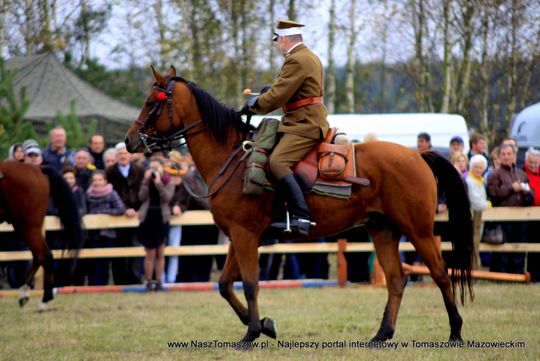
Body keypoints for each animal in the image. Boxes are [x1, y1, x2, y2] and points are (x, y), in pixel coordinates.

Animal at [0, 161, 81, 310]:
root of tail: (38, 169)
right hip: (24, 227)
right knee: (38, 255)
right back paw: (24, 292)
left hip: (27, 226)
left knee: (44, 255)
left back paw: (44, 300)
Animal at [125, 66, 472, 344]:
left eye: (151, 102)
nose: (130, 140)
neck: (232, 159)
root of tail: (417, 155)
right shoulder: (238, 237)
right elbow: (224, 285)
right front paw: (264, 325)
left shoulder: (246, 236)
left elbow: (250, 285)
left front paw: (252, 333)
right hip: (382, 230)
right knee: (397, 280)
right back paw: (382, 334)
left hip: (418, 231)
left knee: (440, 274)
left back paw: (455, 331)